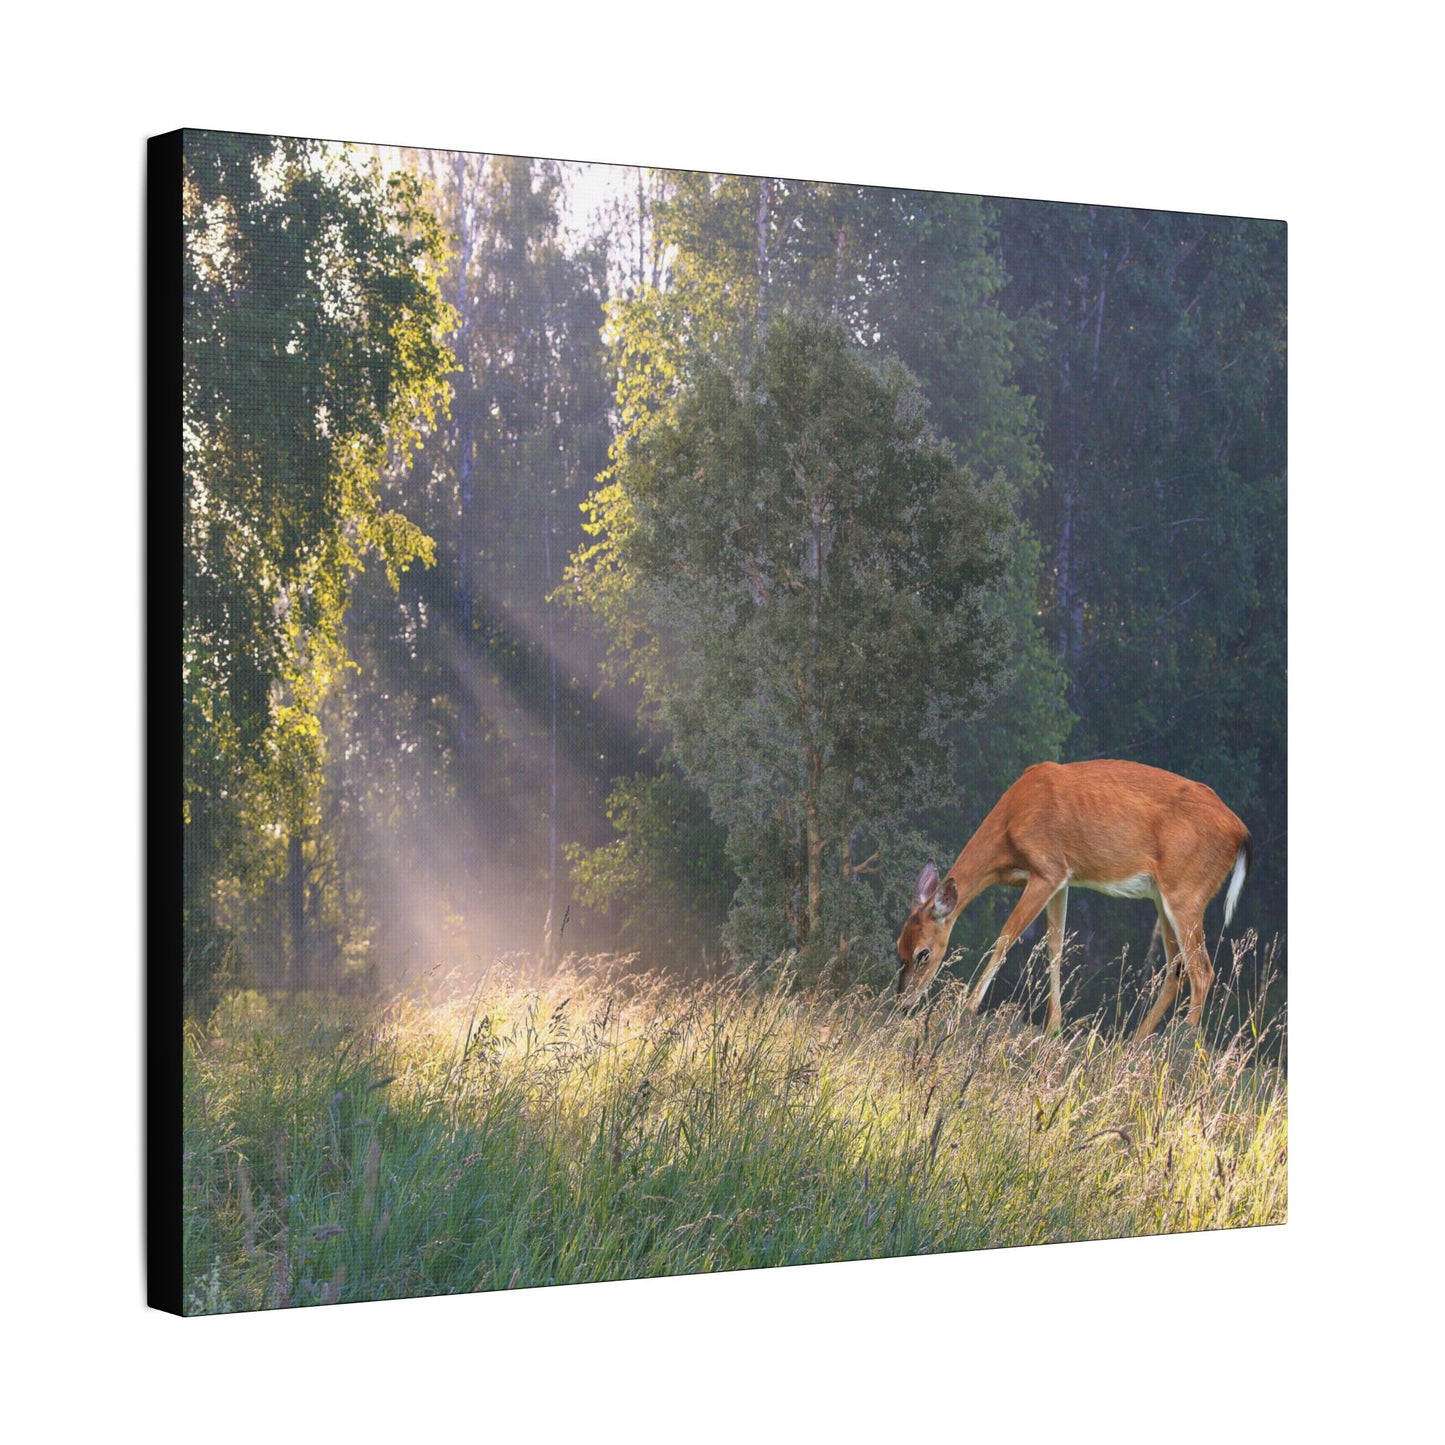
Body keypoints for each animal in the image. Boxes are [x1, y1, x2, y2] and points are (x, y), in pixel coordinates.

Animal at [896, 760, 1252, 1039]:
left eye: (924, 953)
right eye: (899, 947)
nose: (903, 1002)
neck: (1010, 824)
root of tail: (1242, 833)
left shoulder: (1048, 869)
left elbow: (1006, 937)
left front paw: (966, 1010)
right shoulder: (1062, 879)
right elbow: (1055, 946)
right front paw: (1054, 1026)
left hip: (1186, 893)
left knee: (1202, 970)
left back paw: (1179, 1046)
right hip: (1164, 897)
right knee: (1176, 968)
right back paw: (1135, 1045)